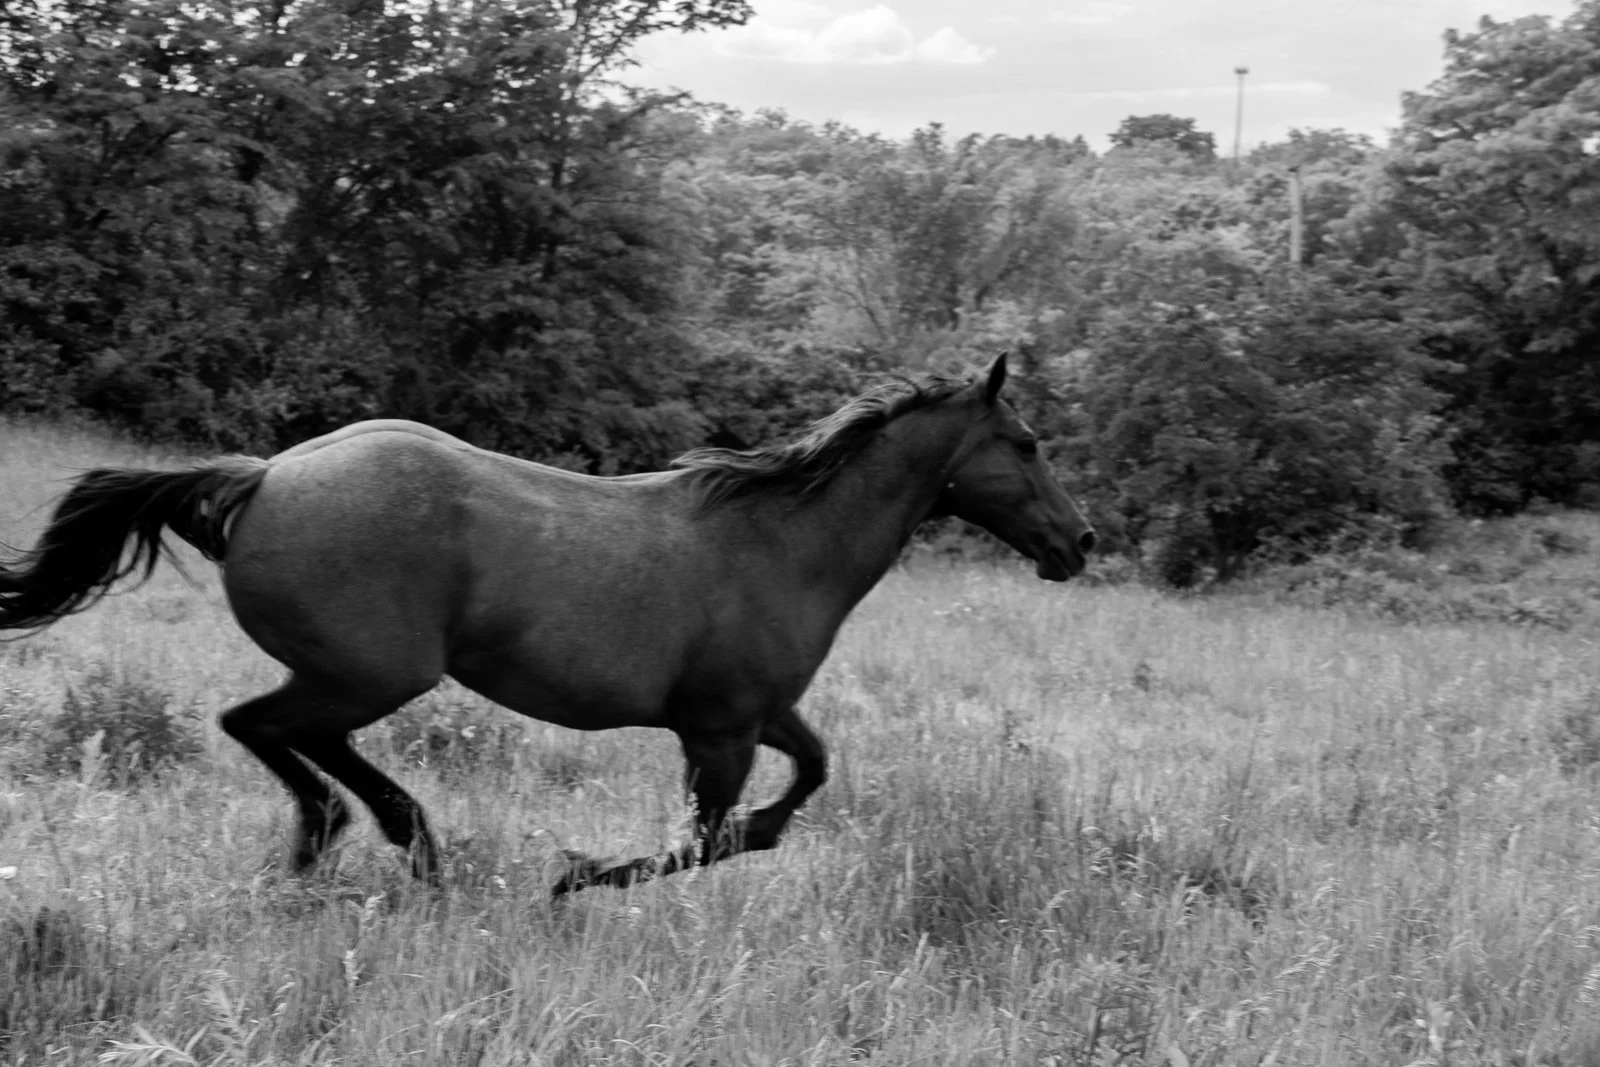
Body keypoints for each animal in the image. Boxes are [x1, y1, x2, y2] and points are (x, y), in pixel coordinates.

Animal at [0, 354, 1094, 894]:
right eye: (1025, 442)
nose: (1079, 542)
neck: (781, 540)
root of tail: (262, 476)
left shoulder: (756, 713)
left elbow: (797, 792)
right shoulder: (720, 730)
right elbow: (703, 841)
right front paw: (572, 877)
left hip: (356, 674)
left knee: (283, 736)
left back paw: (355, 843)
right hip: (370, 672)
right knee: (264, 727)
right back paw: (377, 839)